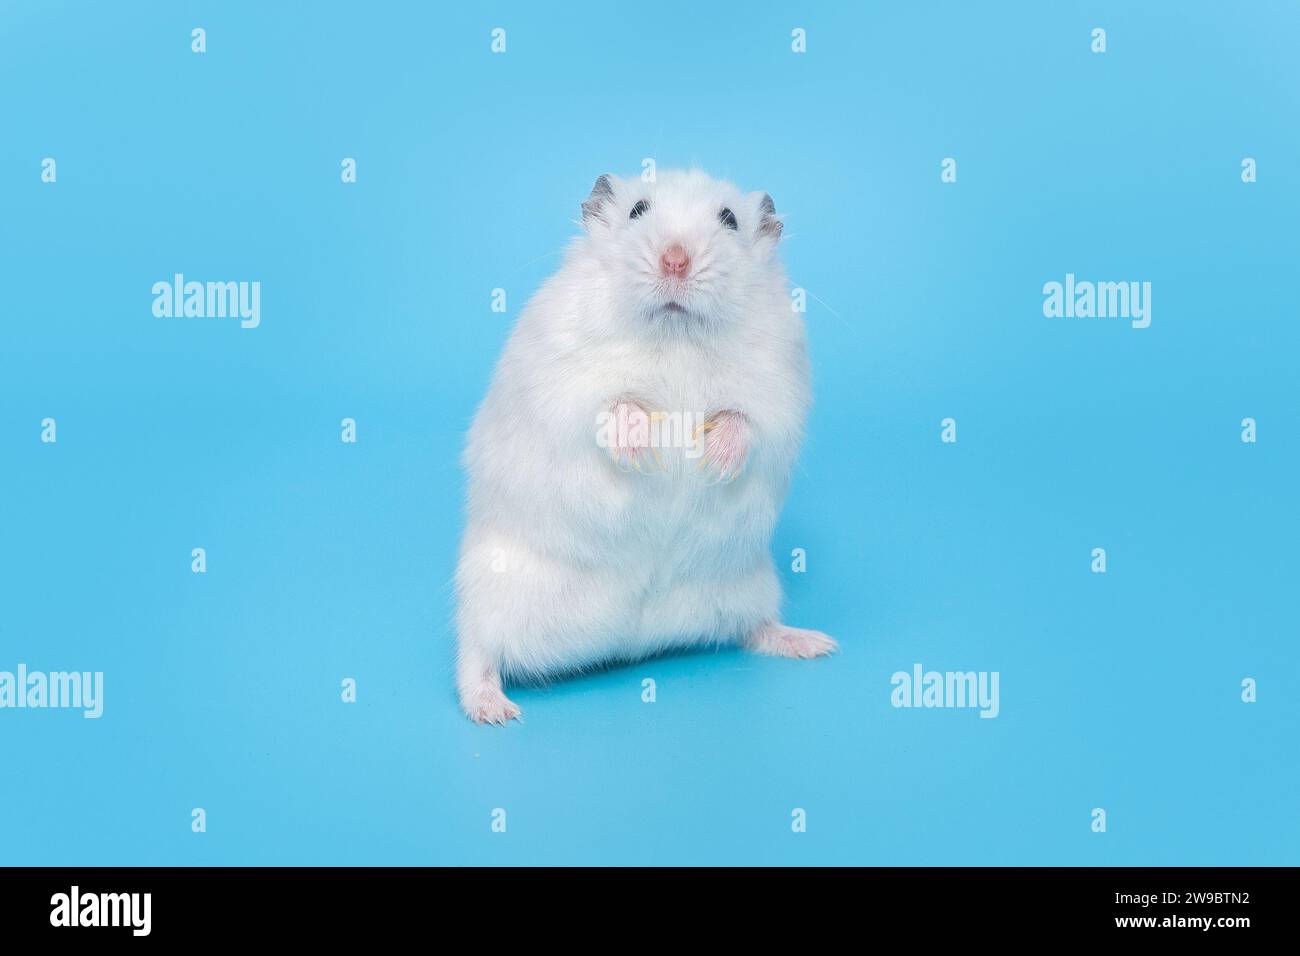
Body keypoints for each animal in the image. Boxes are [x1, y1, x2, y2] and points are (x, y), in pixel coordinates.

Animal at [457, 170, 837, 723]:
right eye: (638, 209)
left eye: (729, 219)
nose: (675, 260)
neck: (675, 332)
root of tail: (631, 640)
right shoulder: (564, 380)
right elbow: (610, 406)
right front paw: (645, 448)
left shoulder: (778, 391)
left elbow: (746, 422)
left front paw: (713, 460)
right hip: (489, 592)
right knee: (475, 655)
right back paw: (495, 711)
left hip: (749, 583)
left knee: (754, 627)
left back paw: (813, 643)